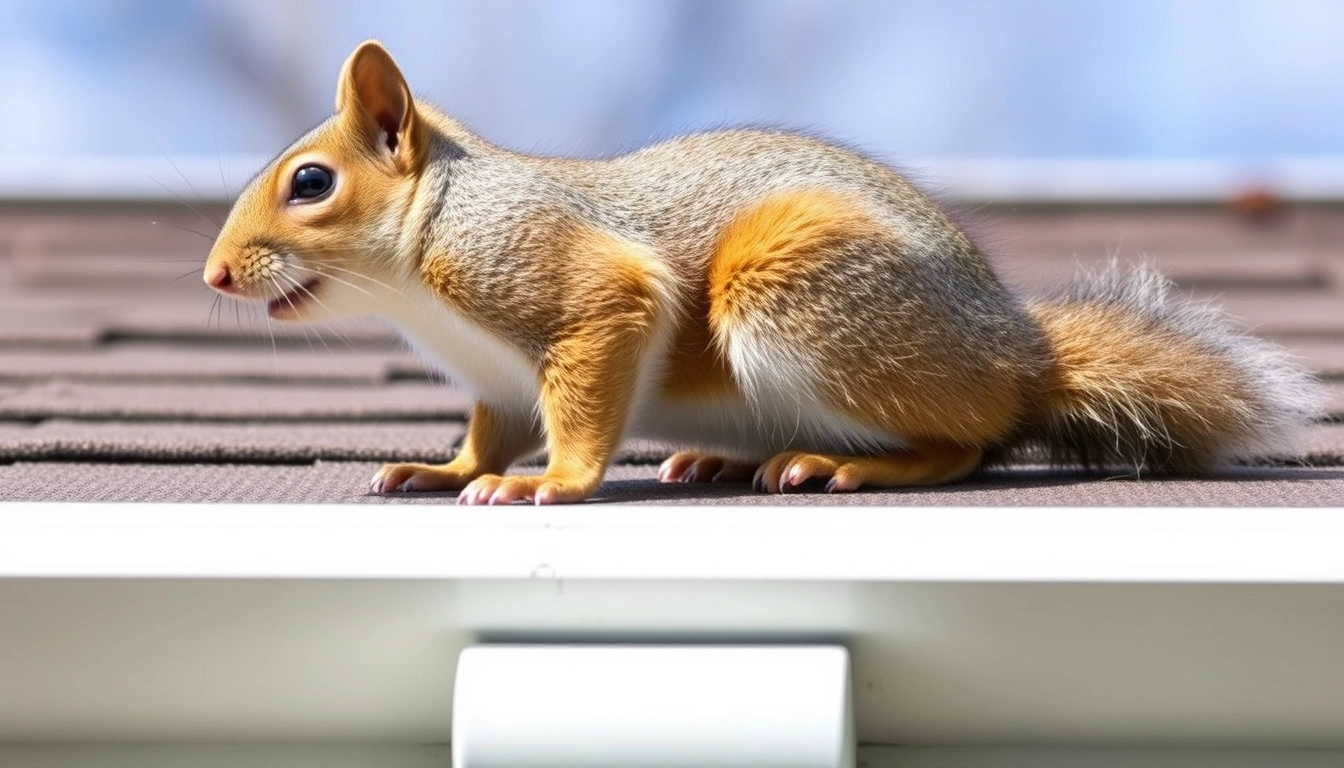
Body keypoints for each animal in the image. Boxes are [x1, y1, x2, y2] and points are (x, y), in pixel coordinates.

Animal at [204, 40, 1321, 505]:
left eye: (311, 182)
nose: (214, 277)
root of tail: (1021, 359)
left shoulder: (564, 284)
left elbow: (584, 395)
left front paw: (550, 485)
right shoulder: (498, 381)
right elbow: (492, 433)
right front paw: (445, 471)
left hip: (801, 293)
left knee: (970, 445)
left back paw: (848, 466)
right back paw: (729, 461)